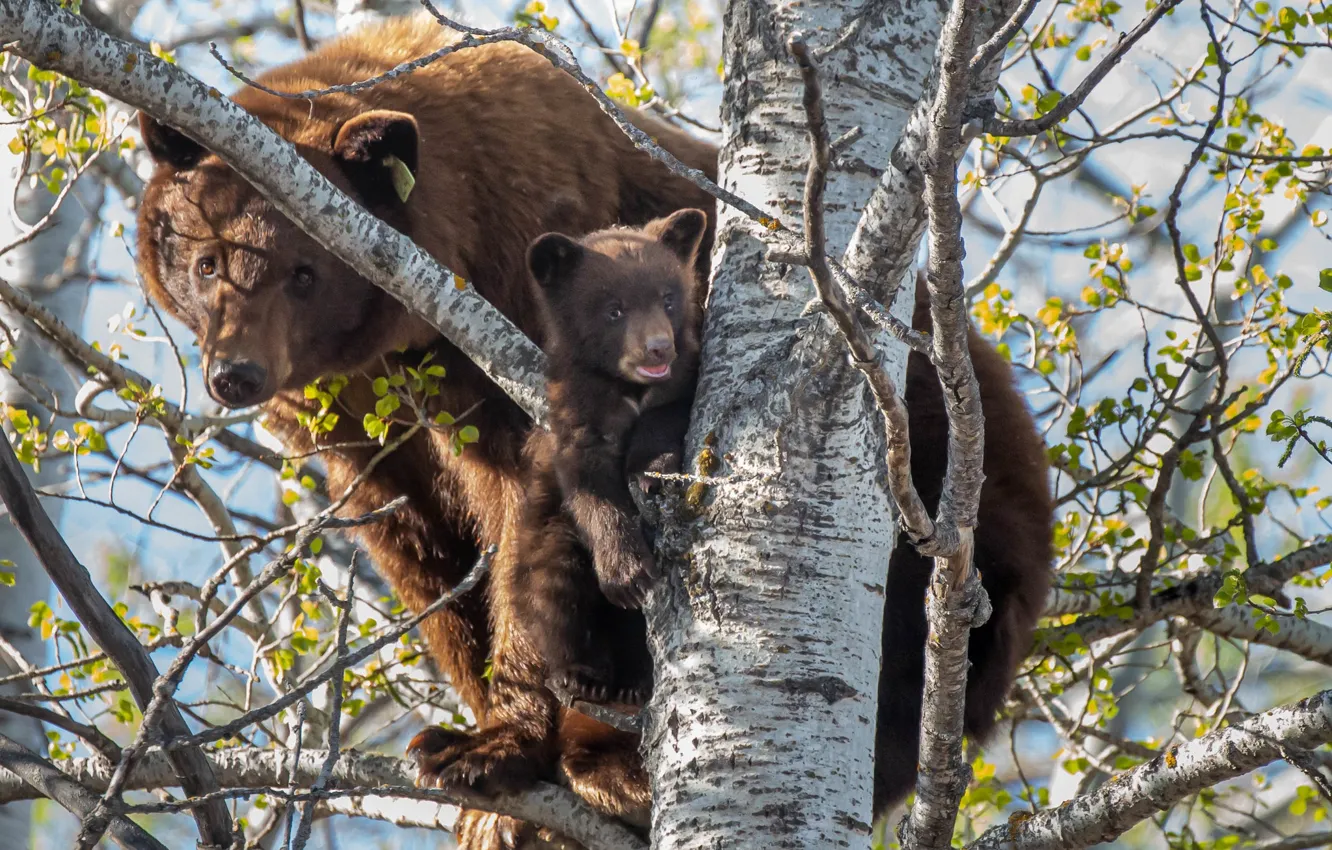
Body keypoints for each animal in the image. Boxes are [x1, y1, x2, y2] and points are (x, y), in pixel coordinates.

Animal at [132, 11, 719, 847]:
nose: (236, 374)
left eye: (305, 272)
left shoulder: (515, 334)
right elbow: (421, 549)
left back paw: (613, 765)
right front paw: (474, 753)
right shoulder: (351, 419)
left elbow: (525, 522)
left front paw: (492, 753)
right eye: (208, 260)